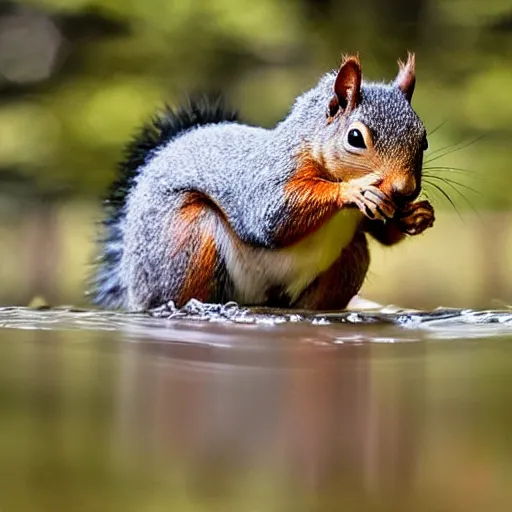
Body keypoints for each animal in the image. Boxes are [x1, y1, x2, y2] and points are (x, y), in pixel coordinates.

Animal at [91, 52, 432, 310]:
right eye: (355, 138)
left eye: (424, 140)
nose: (405, 190)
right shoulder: (270, 176)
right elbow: (274, 215)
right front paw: (353, 190)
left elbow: (384, 234)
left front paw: (417, 214)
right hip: (184, 241)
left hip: (348, 260)